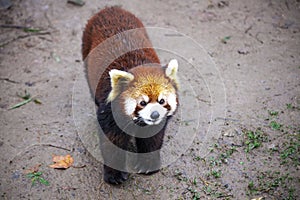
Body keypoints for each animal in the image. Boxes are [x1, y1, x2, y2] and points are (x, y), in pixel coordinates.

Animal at [82, 6, 179, 184]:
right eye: (142, 102)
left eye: (162, 101)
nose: (155, 115)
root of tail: (111, 8)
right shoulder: (110, 112)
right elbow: (112, 141)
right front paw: (114, 175)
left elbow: (152, 139)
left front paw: (148, 164)